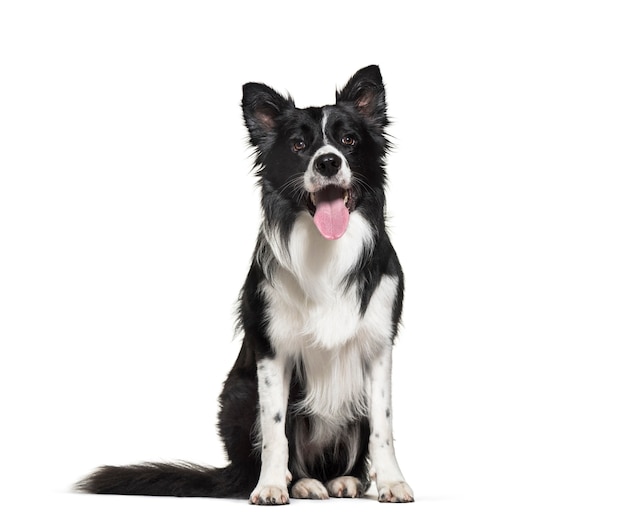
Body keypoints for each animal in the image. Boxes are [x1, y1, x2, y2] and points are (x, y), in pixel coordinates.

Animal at [75, 65, 412, 504]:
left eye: (349, 140)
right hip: (237, 395)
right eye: (299, 145)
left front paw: (392, 482)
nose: (327, 162)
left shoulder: (377, 346)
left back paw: (344, 480)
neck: (325, 248)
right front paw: (270, 485)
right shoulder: (272, 350)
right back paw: (299, 482)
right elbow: (274, 429)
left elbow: (382, 425)